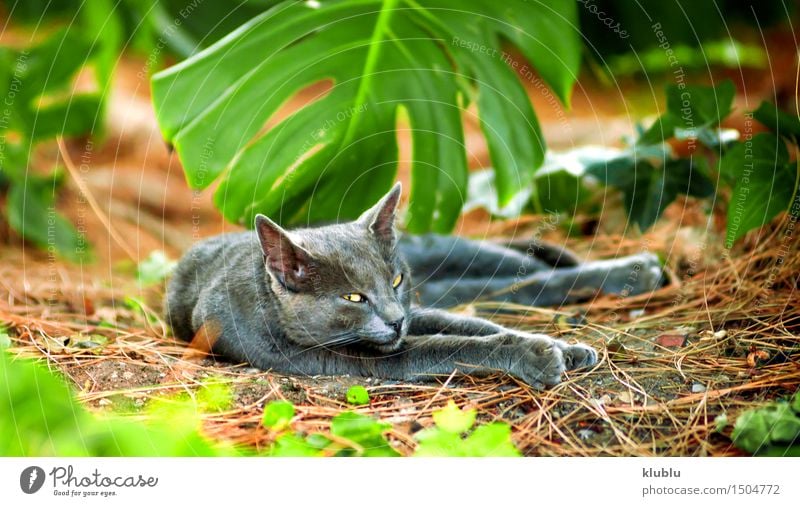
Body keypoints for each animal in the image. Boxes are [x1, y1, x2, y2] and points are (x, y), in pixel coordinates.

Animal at [164, 185, 664, 388]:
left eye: (396, 280)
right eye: (353, 297)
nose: (394, 318)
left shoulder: (418, 308)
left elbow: (473, 327)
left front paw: (564, 347)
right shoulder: (340, 359)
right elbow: (446, 345)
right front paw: (538, 354)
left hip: (454, 255)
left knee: (520, 272)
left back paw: (634, 269)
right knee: (513, 288)